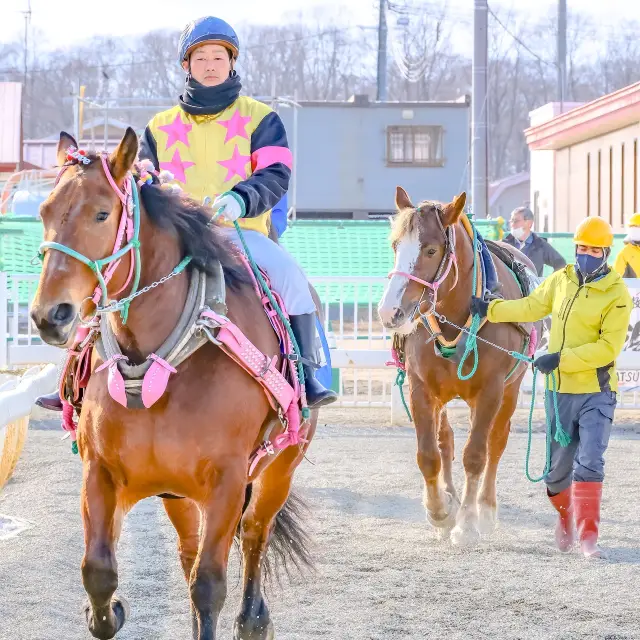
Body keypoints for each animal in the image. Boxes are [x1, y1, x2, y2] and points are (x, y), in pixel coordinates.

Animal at [31, 126, 316, 640]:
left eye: (102, 213)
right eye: (44, 212)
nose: (51, 314)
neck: (156, 360)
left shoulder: (227, 481)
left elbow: (209, 585)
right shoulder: (101, 472)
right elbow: (98, 572)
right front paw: (108, 612)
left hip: (281, 467)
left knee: (255, 534)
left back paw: (253, 618)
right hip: (179, 493)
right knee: (187, 553)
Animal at [378, 188, 536, 548]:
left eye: (430, 250)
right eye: (395, 245)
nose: (389, 311)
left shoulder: (491, 390)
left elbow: (476, 455)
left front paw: (466, 523)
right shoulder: (421, 387)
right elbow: (429, 454)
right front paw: (440, 511)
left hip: (510, 390)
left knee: (495, 444)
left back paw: (485, 509)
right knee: (445, 441)